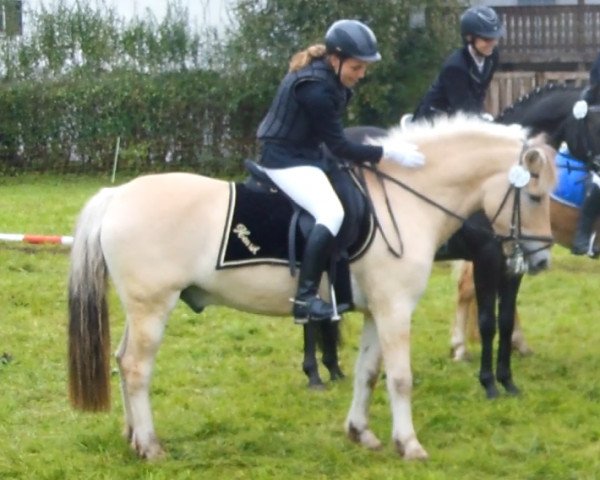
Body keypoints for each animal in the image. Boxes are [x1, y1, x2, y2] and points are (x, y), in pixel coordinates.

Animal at [68, 115, 556, 462]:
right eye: (534, 196)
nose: (541, 260)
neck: (406, 200)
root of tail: (116, 195)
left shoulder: (376, 311)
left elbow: (367, 373)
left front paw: (361, 433)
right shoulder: (396, 308)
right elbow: (400, 378)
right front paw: (410, 444)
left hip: (140, 309)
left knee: (122, 361)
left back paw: (133, 438)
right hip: (153, 307)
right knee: (136, 368)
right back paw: (151, 446)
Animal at [304, 82, 600, 398]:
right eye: (596, 121)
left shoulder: (513, 262)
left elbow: (505, 320)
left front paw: (507, 380)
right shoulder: (487, 257)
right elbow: (487, 321)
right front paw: (489, 382)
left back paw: (333, 368)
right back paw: (314, 373)